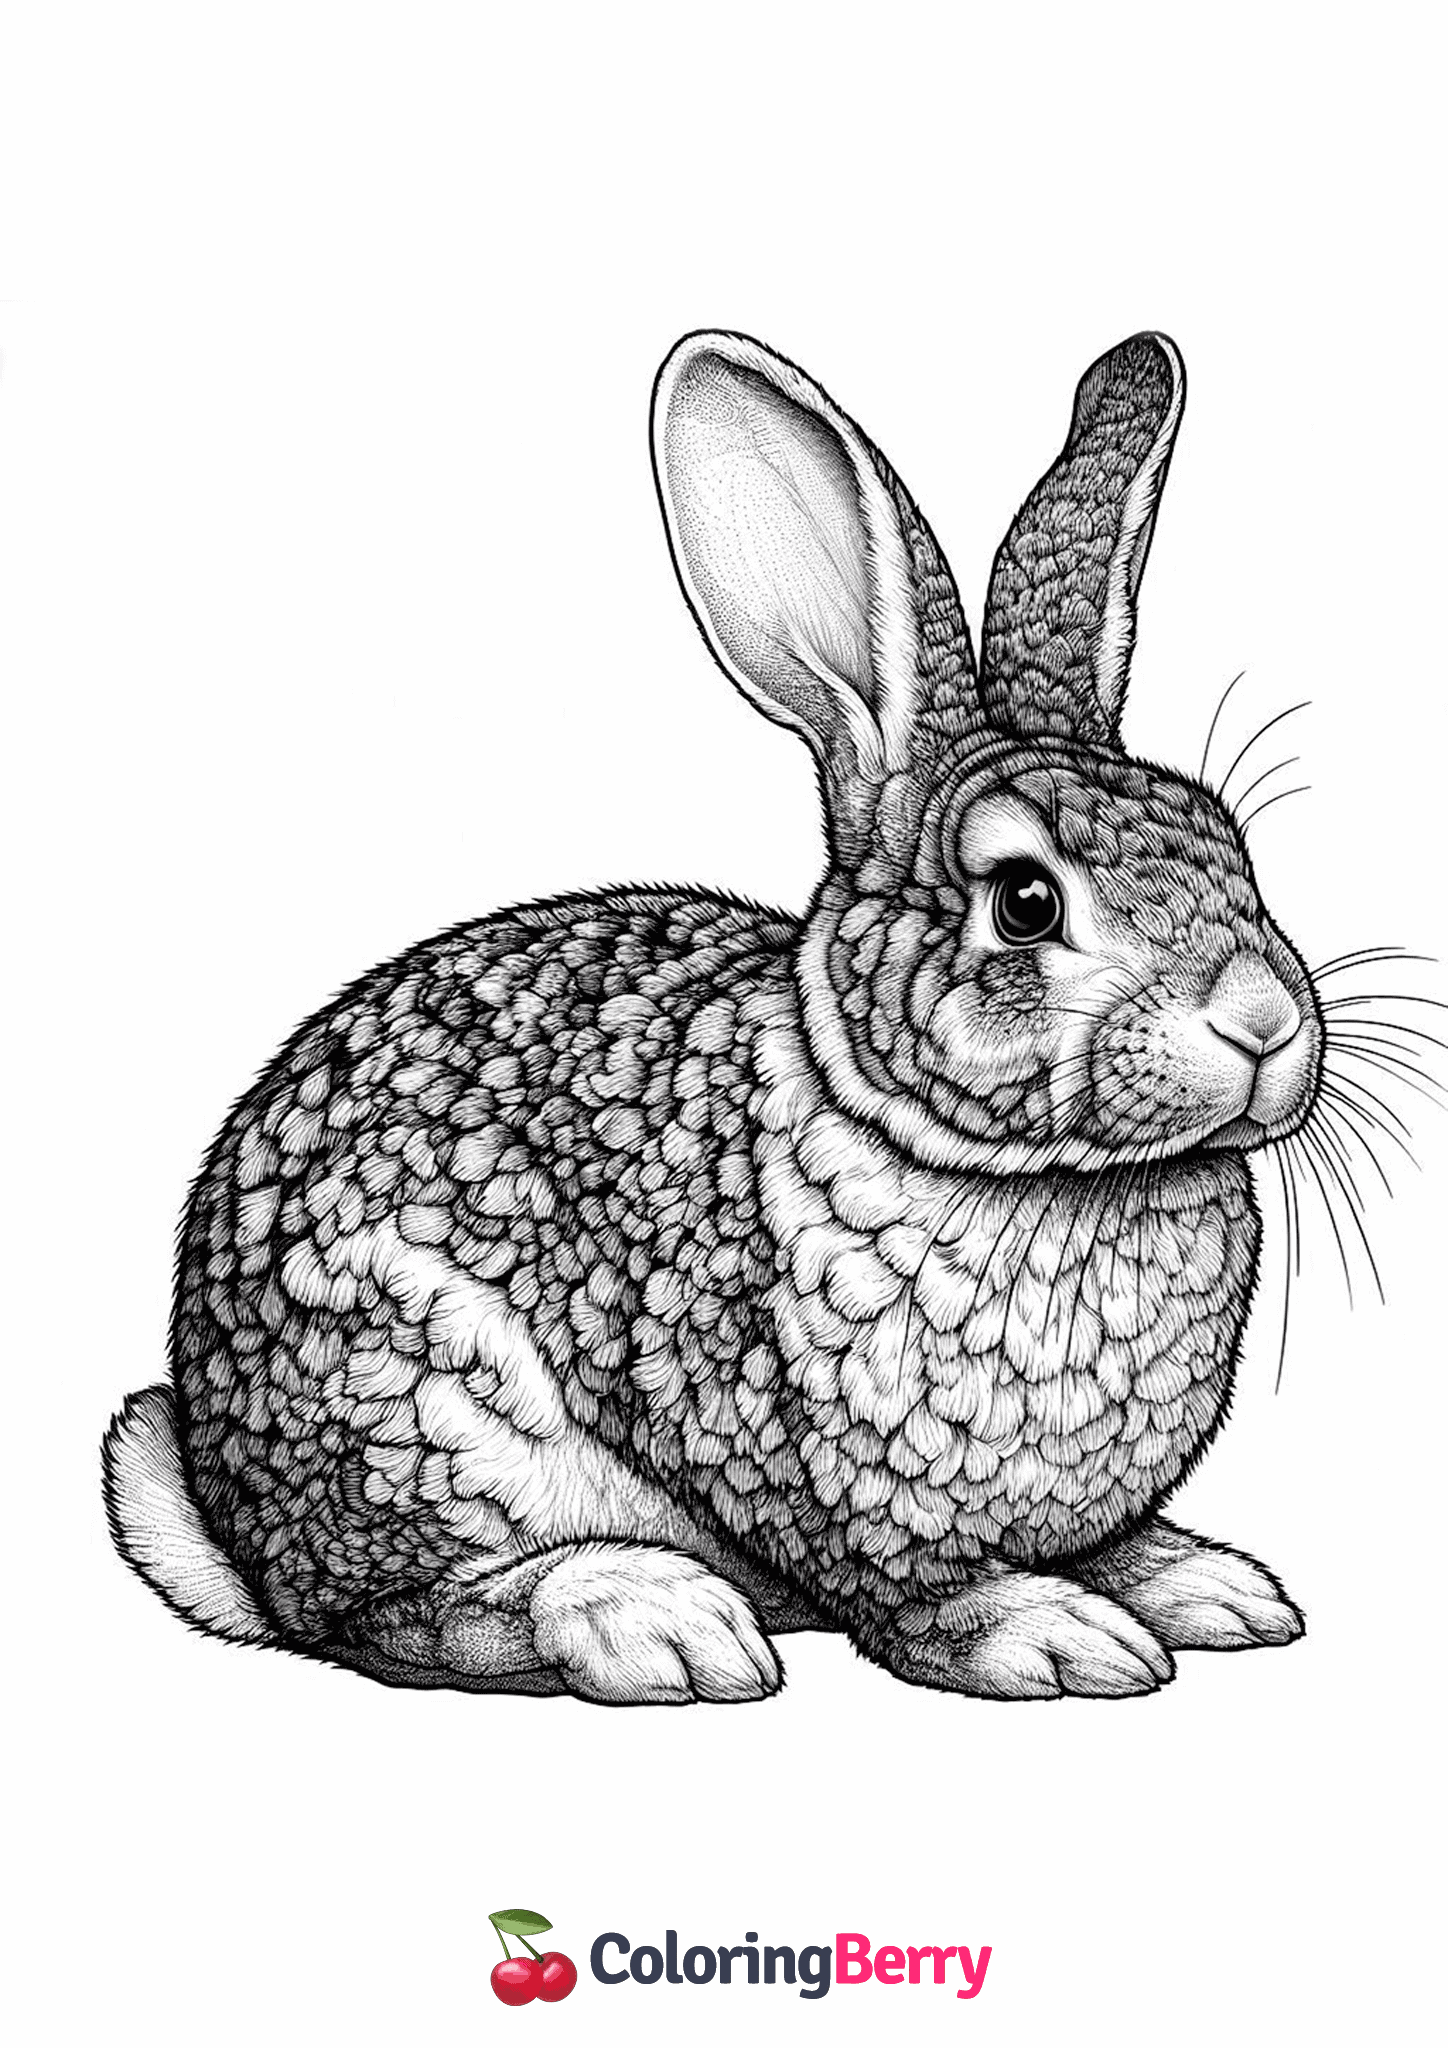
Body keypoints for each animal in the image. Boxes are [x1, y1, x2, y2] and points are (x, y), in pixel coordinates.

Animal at [103, 328, 1322, 1704]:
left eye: (1228, 841)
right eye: (1023, 900)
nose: (1264, 1022)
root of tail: (232, 1523)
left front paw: (1205, 1583)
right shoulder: (777, 1435)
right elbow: (901, 1588)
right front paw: (1046, 1632)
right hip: (418, 1407)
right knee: (396, 1616)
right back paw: (649, 1620)